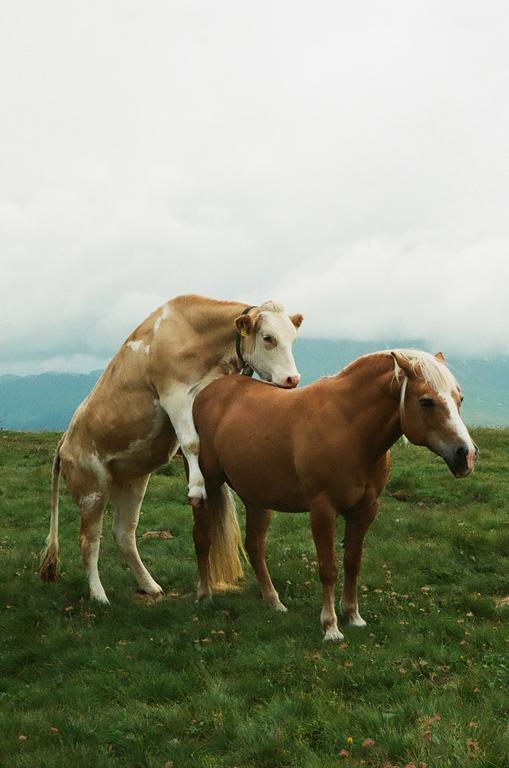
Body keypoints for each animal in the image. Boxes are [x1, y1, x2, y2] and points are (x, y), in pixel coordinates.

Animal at [39, 294, 303, 604]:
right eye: (268, 337)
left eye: (292, 338)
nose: (293, 379)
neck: (198, 337)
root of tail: (65, 441)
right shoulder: (173, 394)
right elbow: (191, 442)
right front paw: (197, 487)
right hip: (92, 488)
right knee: (88, 540)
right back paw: (99, 595)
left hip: (132, 483)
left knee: (124, 534)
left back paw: (150, 585)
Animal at [191, 349, 478, 640]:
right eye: (426, 402)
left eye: (460, 399)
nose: (466, 454)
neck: (349, 428)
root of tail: (210, 392)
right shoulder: (323, 510)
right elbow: (328, 569)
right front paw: (330, 626)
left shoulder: (365, 510)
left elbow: (352, 562)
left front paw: (353, 615)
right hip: (207, 487)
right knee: (203, 539)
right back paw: (204, 595)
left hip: (257, 498)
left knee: (254, 546)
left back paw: (273, 600)